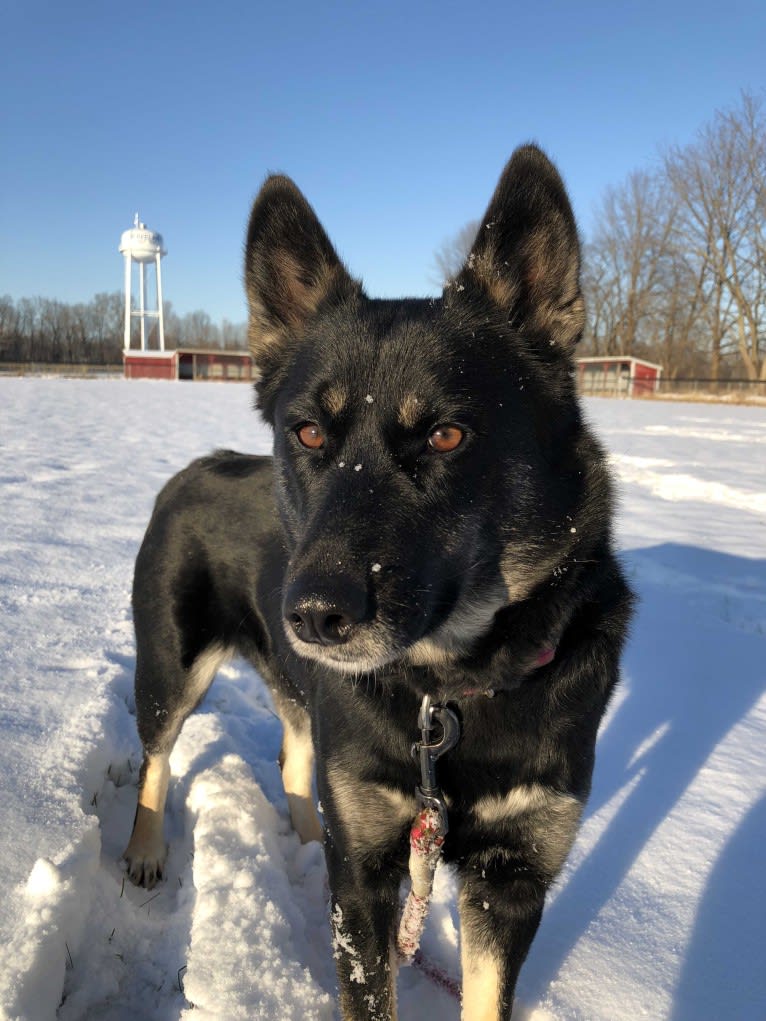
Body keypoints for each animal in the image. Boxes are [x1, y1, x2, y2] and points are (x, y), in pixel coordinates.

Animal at [121, 146, 637, 1021]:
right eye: (307, 432)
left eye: (448, 434)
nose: (313, 615)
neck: (451, 692)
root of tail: (193, 468)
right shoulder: (365, 881)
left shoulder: (512, 876)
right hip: (170, 668)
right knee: (156, 758)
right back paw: (148, 849)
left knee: (298, 756)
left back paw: (301, 834)